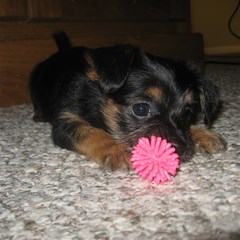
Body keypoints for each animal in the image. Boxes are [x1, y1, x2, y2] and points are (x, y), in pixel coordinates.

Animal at [29, 31, 226, 170]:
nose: (183, 150)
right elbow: (92, 133)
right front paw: (116, 149)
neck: (95, 98)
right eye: (141, 109)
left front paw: (203, 134)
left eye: (187, 112)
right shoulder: (66, 123)